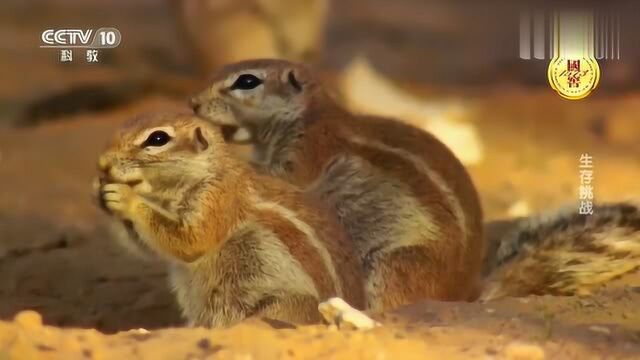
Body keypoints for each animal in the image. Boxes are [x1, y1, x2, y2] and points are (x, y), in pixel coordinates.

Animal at [95, 113, 364, 330]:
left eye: (158, 139)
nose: (103, 163)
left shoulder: (217, 199)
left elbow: (191, 240)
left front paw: (127, 197)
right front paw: (99, 191)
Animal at [190, 58, 484, 310]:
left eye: (247, 81)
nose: (193, 103)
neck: (309, 115)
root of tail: (463, 289)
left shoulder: (309, 150)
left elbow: (281, 178)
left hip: (393, 265)